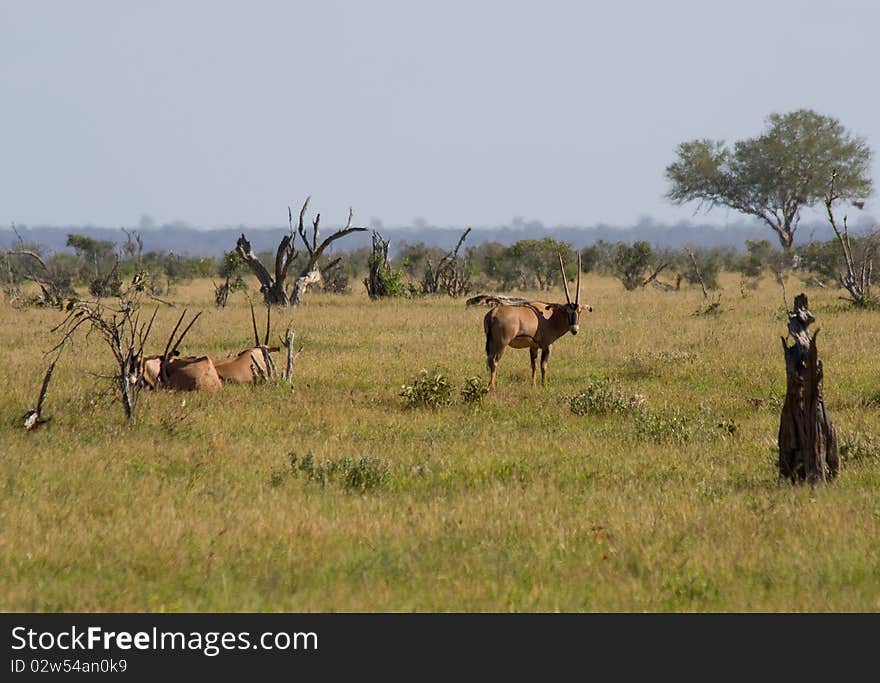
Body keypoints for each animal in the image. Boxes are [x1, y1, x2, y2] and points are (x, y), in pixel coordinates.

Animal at [468, 252, 592, 390]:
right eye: (567, 311)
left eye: (579, 311)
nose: (575, 329)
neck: (550, 316)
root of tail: (493, 313)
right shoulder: (547, 345)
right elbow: (543, 365)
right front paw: (544, 385)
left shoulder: (533, 346)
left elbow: (534, 365)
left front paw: (533, 385)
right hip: (501, 343)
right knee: (494, 361)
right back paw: (493, 387)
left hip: (492, 342)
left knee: (489, 360)